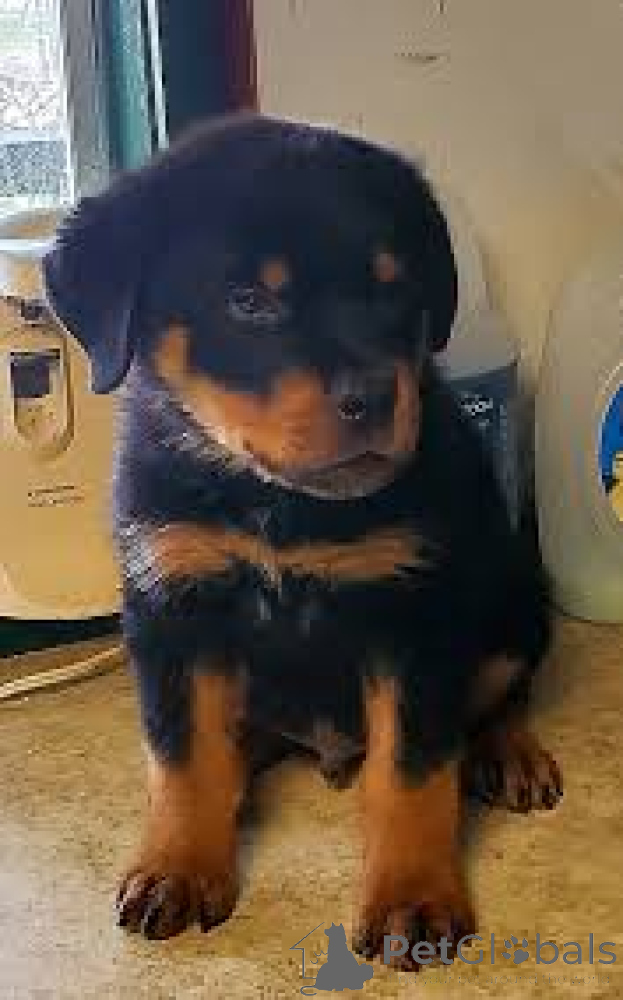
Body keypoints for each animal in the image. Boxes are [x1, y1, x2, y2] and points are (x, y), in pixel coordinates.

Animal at [43, 112, 562, 966]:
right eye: (248, 301)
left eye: (395, 288)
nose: (376, 397)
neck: (275, 503)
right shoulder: (172, 605)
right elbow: (183, 756)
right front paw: (178, 866)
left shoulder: (416, 616)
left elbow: (411, 772)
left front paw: (411, 897)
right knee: (226, 744)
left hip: (516, 591)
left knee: (500, 689)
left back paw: (509, 753)